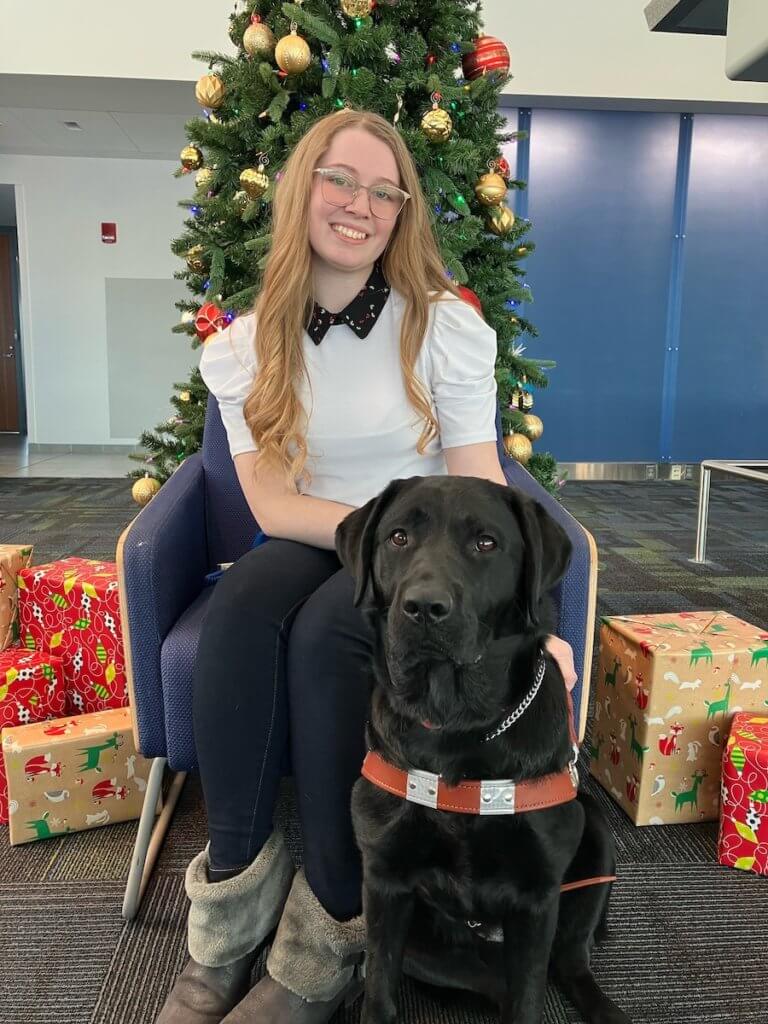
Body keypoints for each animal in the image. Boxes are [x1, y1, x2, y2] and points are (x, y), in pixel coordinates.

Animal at [335, 475, 630, 1024]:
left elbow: (529, 998)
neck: (458, 727)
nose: (423, 607)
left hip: (595, 837)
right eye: (398, 537)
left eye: (486, 543)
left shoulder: (537, 899)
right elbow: (380, 990)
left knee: (568, 964)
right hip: (425, 945)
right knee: (493, 982)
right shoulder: (383, 882)